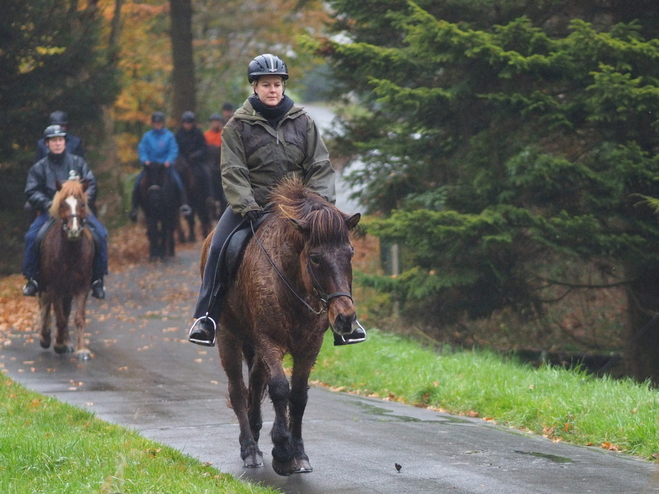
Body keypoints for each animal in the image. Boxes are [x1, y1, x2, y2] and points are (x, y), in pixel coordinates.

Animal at [38, 179, 94, 360]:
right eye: (63, 204)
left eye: (82, 204)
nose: (74, 230)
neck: (71, 252)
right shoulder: (55, 286)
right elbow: (60, 317)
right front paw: (58, 344)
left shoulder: (82, 286)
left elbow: (78, 317)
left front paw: (81, 349)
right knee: (45, 304)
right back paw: (46, 337)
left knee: (66, 310)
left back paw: (67, 341)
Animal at [201, 177, 364, 474]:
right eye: (315, 258)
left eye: (350, 253)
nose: (345, 318)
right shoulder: (269, 340)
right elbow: (279, 388)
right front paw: (282, 449)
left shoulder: (310, 346)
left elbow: (297, 396)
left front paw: (298, 452)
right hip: (229, 336)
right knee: (237, 390)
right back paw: (250, 449)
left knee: (255, 380)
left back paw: (255, 430)